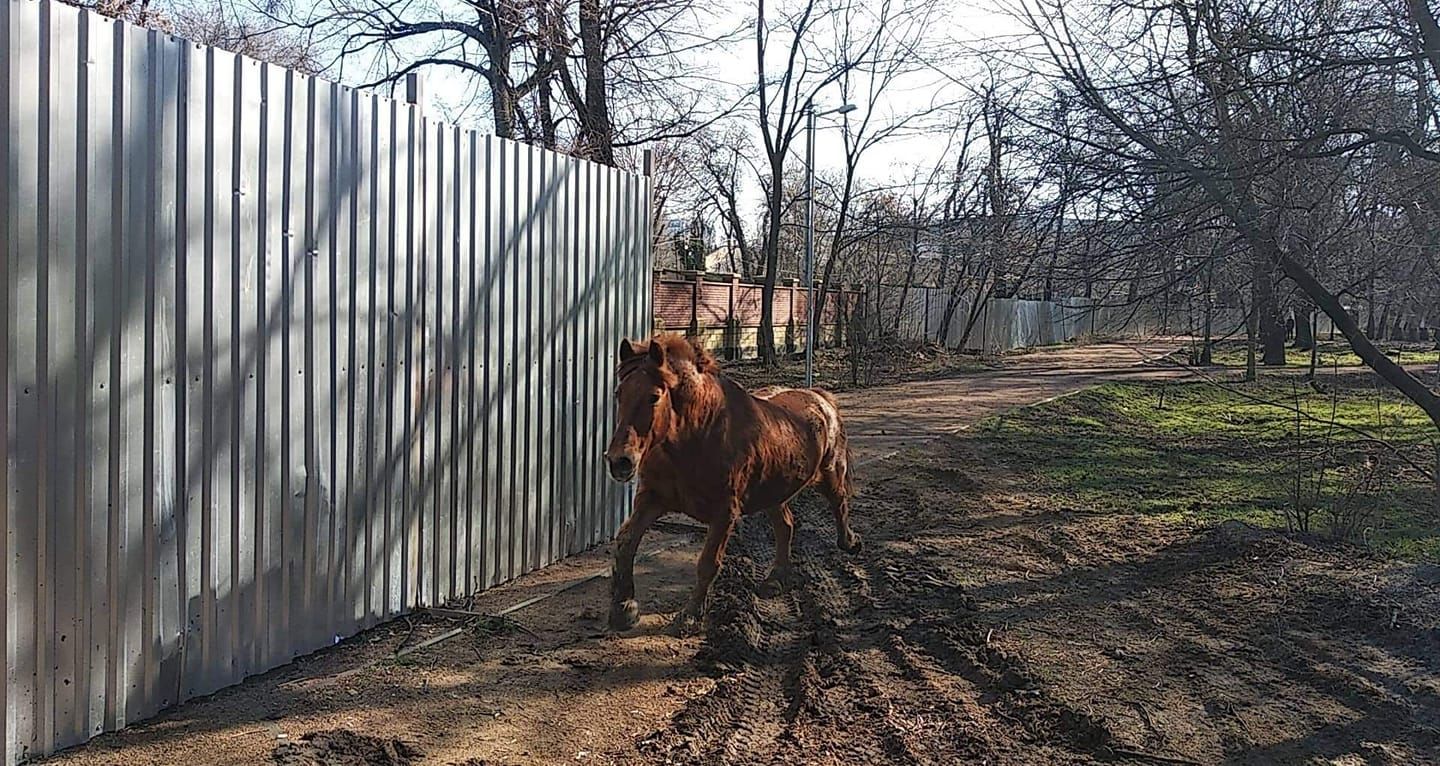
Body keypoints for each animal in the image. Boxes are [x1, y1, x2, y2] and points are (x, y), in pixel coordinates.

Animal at [601, 332, 858, 630]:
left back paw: (850, 542)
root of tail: (820, 397)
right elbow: (626, 543)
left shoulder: (724, 512)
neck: (697, 436)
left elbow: (708, 562)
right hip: (774, 492)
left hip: (829, 473)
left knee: (839, 503)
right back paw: (775, 580)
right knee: (785, 526)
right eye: (619, 393)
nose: (619, 461)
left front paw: (689, 617)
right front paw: (624, 609)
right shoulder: (652, 499)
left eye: (654, 396)